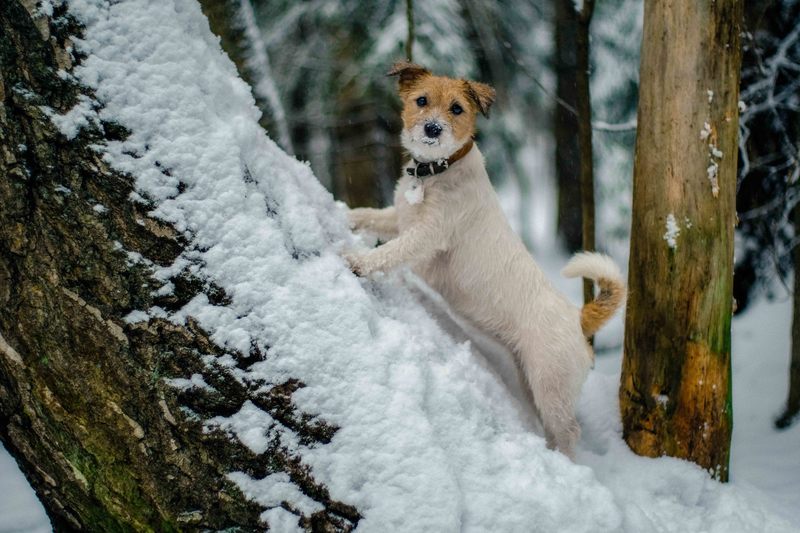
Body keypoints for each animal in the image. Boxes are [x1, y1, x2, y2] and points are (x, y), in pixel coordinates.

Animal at [344, 59, 624, 458]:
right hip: (530, 379)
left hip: (551, 385)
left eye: (457, 108)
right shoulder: (399, 218)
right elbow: (369, 215)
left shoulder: (427, 236)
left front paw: (358, 261)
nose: (432, 129)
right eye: (421, 100)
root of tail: (578, 318)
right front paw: (347, 215)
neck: (436, 172)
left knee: (569, 432)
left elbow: (389, 252)